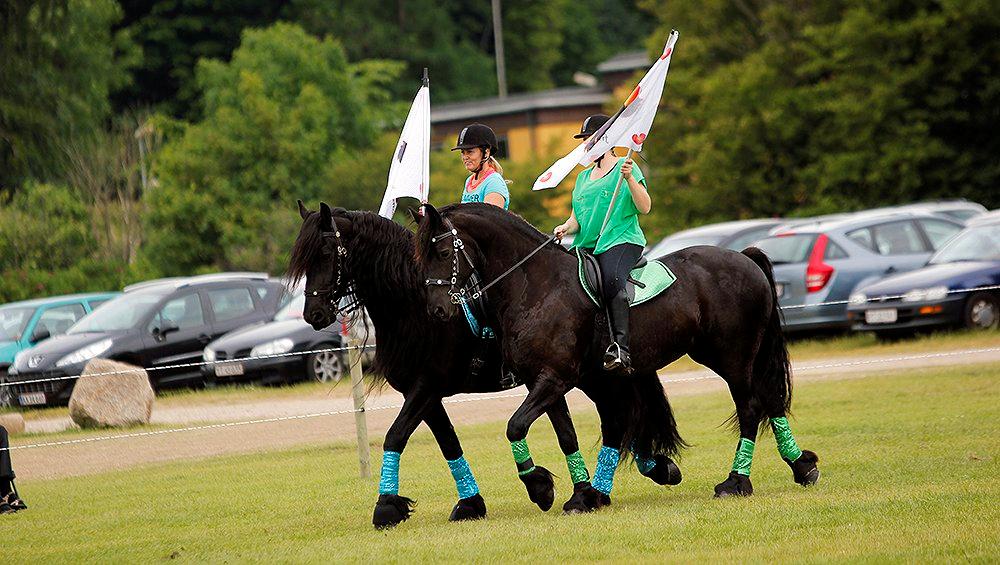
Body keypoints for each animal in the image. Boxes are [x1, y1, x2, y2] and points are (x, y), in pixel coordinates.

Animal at [286, 203, 684, 528]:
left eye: (325, 253)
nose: (313, 315)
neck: (414, 307)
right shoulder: (427, 394)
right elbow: (448, 443)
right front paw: (470, 504)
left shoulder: (426, 386)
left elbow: (395, 435)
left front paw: (385, 507)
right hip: (588, 377)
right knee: (619, 417)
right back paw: (648, 471)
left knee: (621, 415)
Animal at [418, 204, 816, 498]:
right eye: (420, 259)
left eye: (443, 252)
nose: (436, 311)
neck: (536, 285)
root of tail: (744, 257)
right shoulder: (543, 381)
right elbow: (564, 433)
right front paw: (580, 495)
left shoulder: (555, 378)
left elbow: (515, 426)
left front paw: (540, 487)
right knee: (769, 400)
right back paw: (802, 467)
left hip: (732, 357)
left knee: (750, 407)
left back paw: (737, 481)